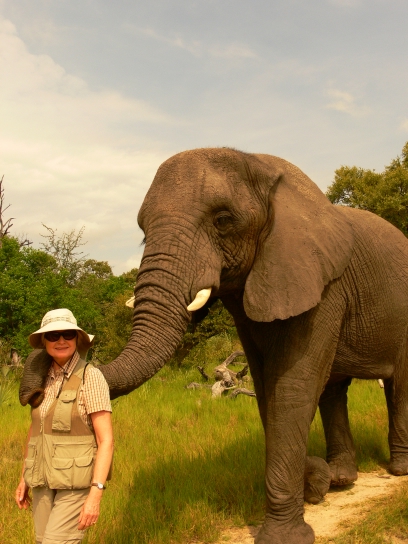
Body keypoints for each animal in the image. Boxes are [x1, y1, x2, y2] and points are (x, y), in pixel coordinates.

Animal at [19, 148, 408, 544]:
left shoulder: (324, 283)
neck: (262, 165)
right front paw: (315, 484)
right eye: (143, 231)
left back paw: (397, 470)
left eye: (223, 220)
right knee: (334, 390)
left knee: (398, 386)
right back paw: (343, 477)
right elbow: (267, 389)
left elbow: (292, 388)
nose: (47, 353)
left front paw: (286, 533)